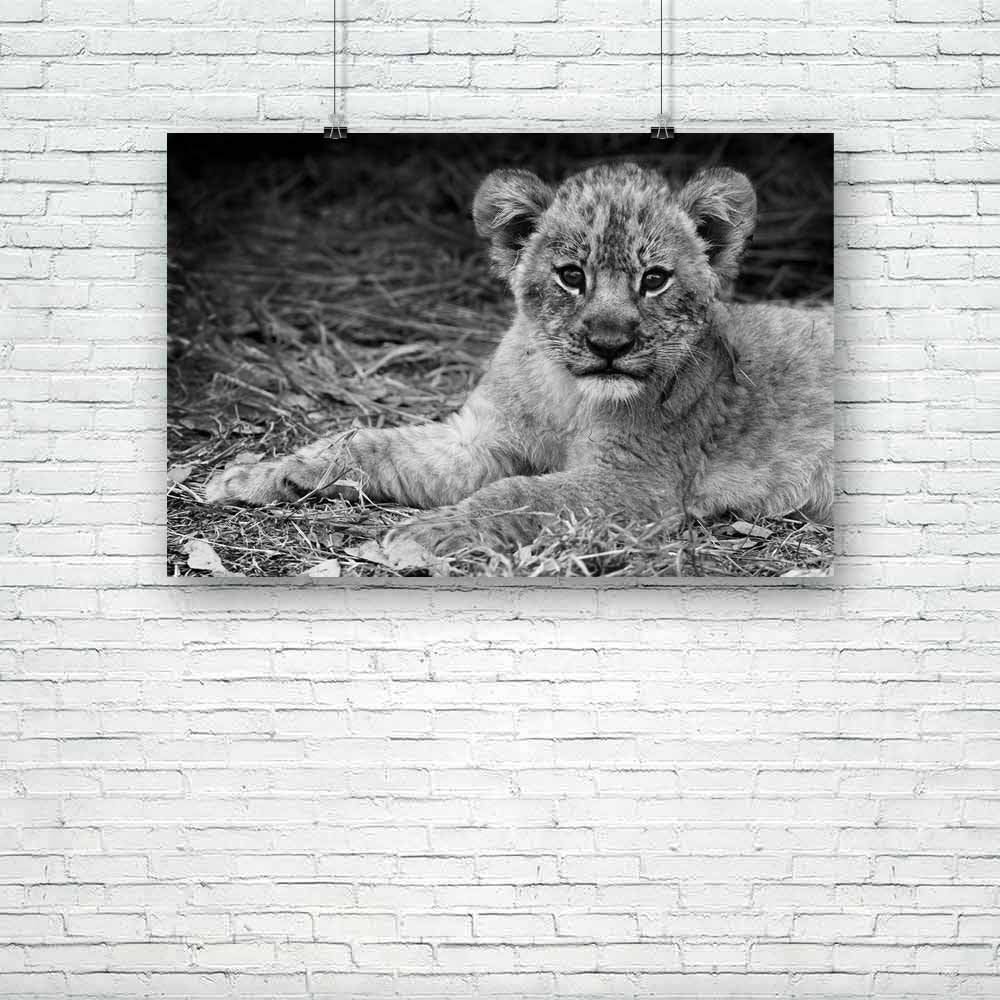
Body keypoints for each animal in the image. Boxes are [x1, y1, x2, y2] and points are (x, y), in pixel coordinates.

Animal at [204, 161, 833, 558]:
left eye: (654, 280)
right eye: (571, 276)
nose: (609, 344)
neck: (567, 394)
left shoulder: (639, 482)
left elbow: (519, 494)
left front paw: (427, 534)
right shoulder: (478, 439)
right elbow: (368, 443)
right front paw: (257, 474)